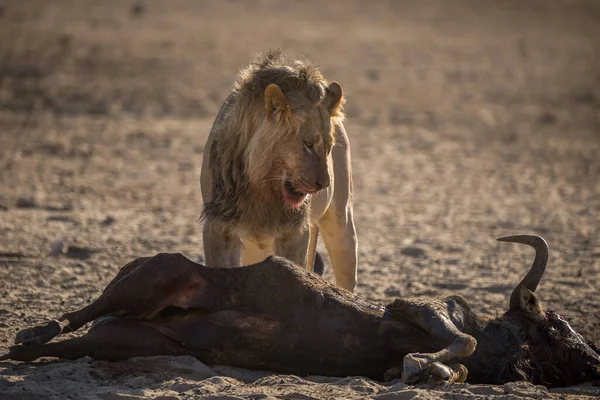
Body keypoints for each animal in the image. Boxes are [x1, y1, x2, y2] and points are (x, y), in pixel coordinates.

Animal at [202, 50, 358, 292]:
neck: (261, 187)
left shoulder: (295, 232)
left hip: (341, 222)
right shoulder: (219, 224)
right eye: (308, 144)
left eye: (329, 148)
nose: (324, 184)